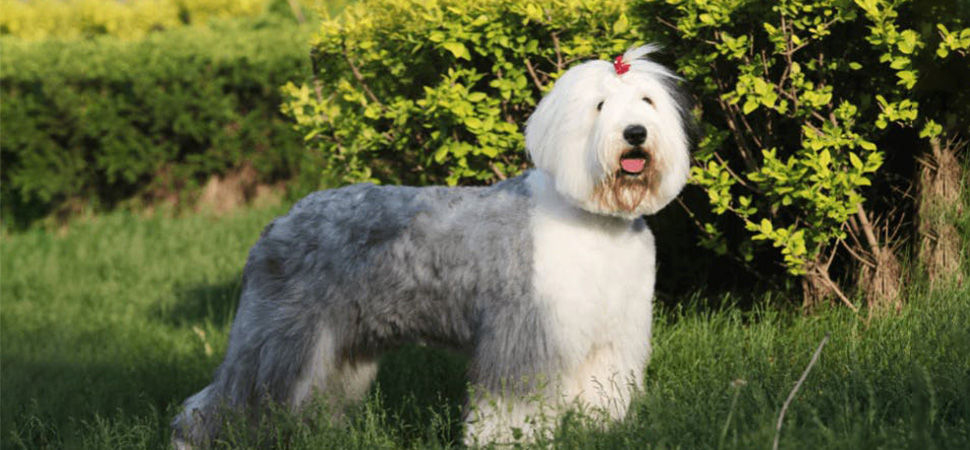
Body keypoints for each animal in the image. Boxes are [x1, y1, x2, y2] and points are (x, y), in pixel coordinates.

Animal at [172, 45, 688, 446]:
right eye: (600, 106)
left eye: (647, 101)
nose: (635, 133)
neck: (593, 218)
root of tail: (279, 221)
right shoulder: (524, 332)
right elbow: (512, 404)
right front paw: (507, 440)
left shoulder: (613, 334)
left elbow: (604, 393)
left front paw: (601, 431)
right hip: (280, 338)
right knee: (223, 402)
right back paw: (191, 437)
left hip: (339, 345)